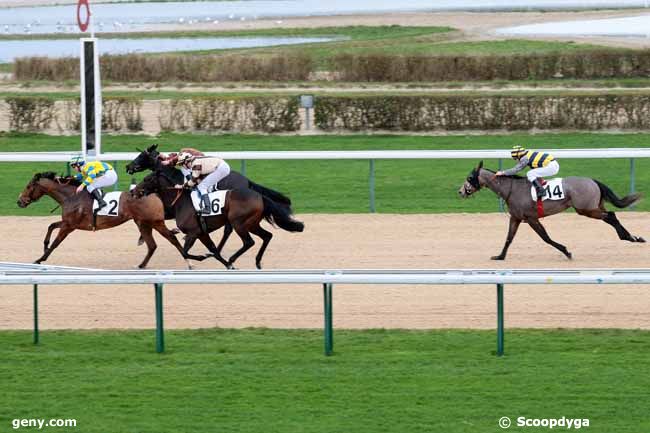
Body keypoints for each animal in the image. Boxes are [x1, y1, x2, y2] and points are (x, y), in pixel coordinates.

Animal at [17, 171, 206, 266]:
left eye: (29, 186)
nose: (20, 201)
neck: (71, 196)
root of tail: (153, 194)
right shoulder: (68, 222)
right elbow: (50, 226)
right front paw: (44, 246)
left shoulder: (69, 226)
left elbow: (56, 242)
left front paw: (40, 259)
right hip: (142, 223)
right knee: (152, 245)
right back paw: (141, 265)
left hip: (155, 222)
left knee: (172, 238)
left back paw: (191, 260)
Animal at [135, 170, 302, 268]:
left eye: (147, 178)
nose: (134, 191)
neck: (181, 202)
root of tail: (259, 196)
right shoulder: (202, 233)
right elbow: (214, 250)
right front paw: (223, 263)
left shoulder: (193, 232)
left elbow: (185, 252)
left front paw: (204, 257)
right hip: (252, 224)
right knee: (267, 236)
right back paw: (257, 262)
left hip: (239, 223)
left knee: (249, 242)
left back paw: (233, 259)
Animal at [456, 160, 644, 258]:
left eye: (470, 177)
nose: (461, 191)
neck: (512, 189)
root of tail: (592, 180)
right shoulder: (515, 218)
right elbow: (509, 238)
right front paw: (500, 256)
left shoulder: (531, 218)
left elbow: (545, 237)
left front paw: (566, 251)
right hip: (594, 206)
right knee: (611, 215)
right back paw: (633, 237)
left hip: (586, 209)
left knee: (610, 216)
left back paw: (630, 237)